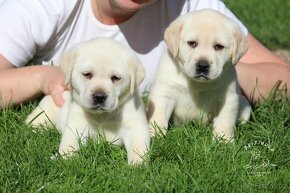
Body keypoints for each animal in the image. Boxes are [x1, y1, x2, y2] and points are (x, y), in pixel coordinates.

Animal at [148, 9, 250, 141]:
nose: (202, 66)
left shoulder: (228, 99)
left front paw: (223, 141)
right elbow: (158, 116)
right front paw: (155, 135)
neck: (197, 83)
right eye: (192, 43)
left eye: (219, 46)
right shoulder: (164, 92)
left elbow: (225, 122)